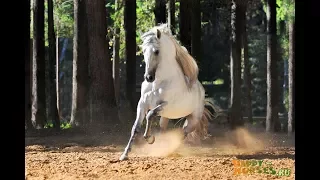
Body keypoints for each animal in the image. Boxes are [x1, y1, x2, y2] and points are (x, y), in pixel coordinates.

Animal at [119, 23, 220, 160]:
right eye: (144, 50)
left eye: (156, 51)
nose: (148, 77)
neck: (158, 83)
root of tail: (202, 93)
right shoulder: (142, 104)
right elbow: (135, 128)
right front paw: (124, 155)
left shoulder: (165, 105)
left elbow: (150, 114)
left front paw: (149, 138)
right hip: (165, 117)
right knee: (164, 130)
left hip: (192, 120)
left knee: (183, 133)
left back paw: (169, 149)